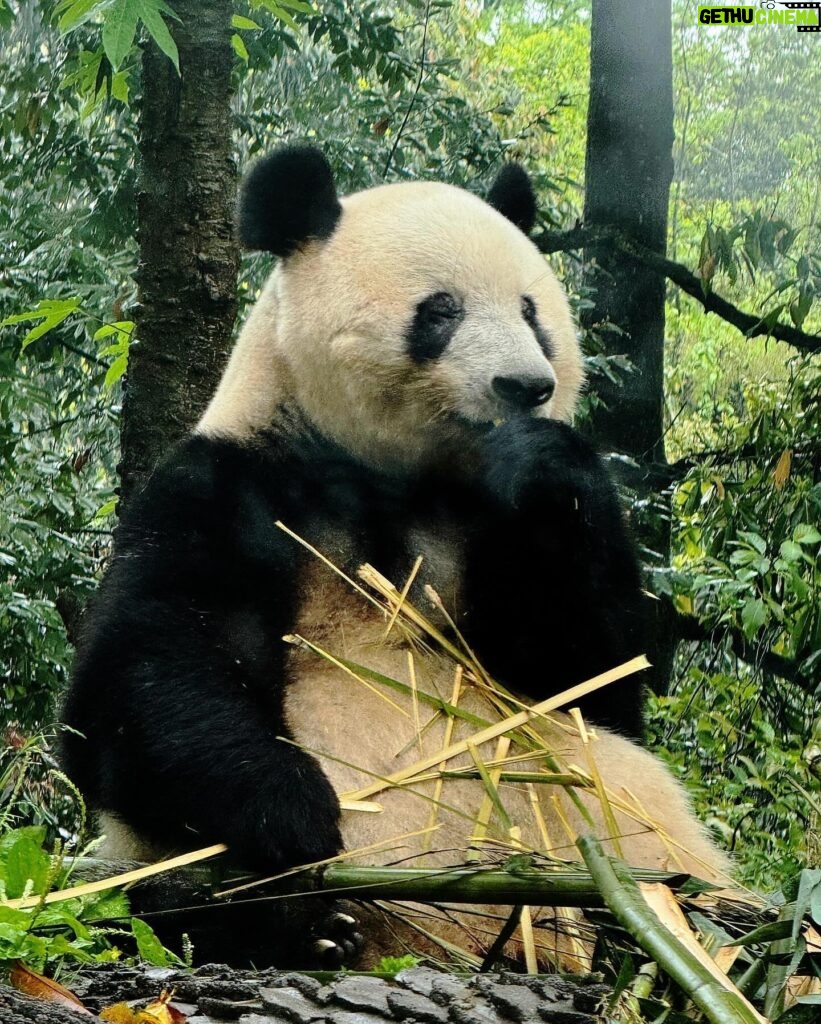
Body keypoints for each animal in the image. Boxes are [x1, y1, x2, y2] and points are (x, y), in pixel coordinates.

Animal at [62, 144, 728, 966]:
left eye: (532, 313)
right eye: (440, 310)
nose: (526, 386)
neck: (397, 479)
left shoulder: (488, 522)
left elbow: (588, 683)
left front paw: (544, 458)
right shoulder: (226, 485)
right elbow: (137, 678)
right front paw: (290, 809)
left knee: (627, 797)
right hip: (151, 862)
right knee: (163, 894)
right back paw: (301, 925)